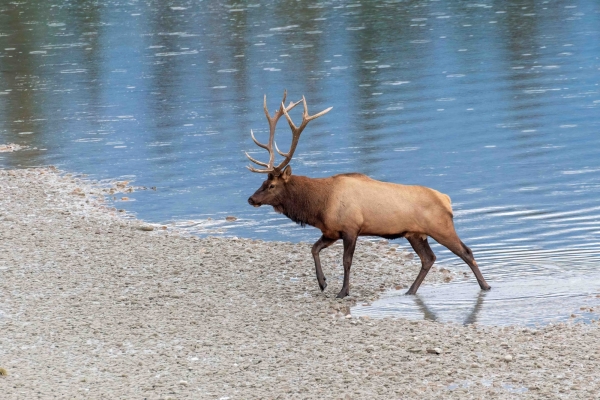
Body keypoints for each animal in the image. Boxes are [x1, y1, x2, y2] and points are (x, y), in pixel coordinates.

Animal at [246, 90, 490, 296]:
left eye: (271, 185)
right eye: (262, 181)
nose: (251, 199)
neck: (320, 206)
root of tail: (447, 200)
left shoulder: (351, 228)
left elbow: (346, 261)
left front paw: (343, 291)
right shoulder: (331, 231)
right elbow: (314, 249)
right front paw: (322, 282)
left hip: (441, 227)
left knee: (466, 251)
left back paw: (485, 286)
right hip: (415, 234)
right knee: (428, 258)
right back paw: (410, 291)